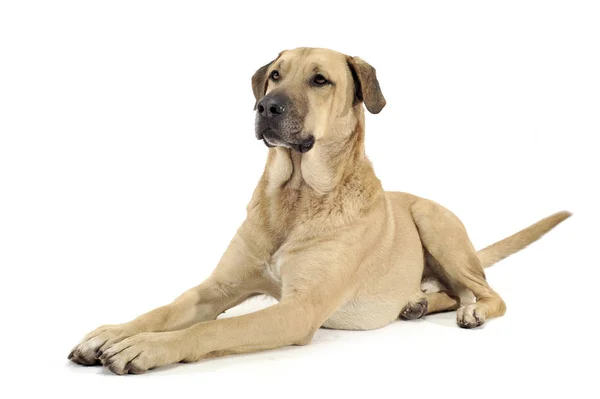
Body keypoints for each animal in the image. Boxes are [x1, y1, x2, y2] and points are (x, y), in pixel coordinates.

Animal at [68, 47, 568, 376]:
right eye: (274, 75)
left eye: (320, 80)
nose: (266, 106)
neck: (295, 197)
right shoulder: (216, 288)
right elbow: (164, 309)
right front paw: (112, 333)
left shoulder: (298, 310)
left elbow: (208, 332)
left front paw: (143, 348)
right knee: (449, 291)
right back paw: (418, 303)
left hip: (434, 222)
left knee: (485, 292)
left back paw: (471, 312)